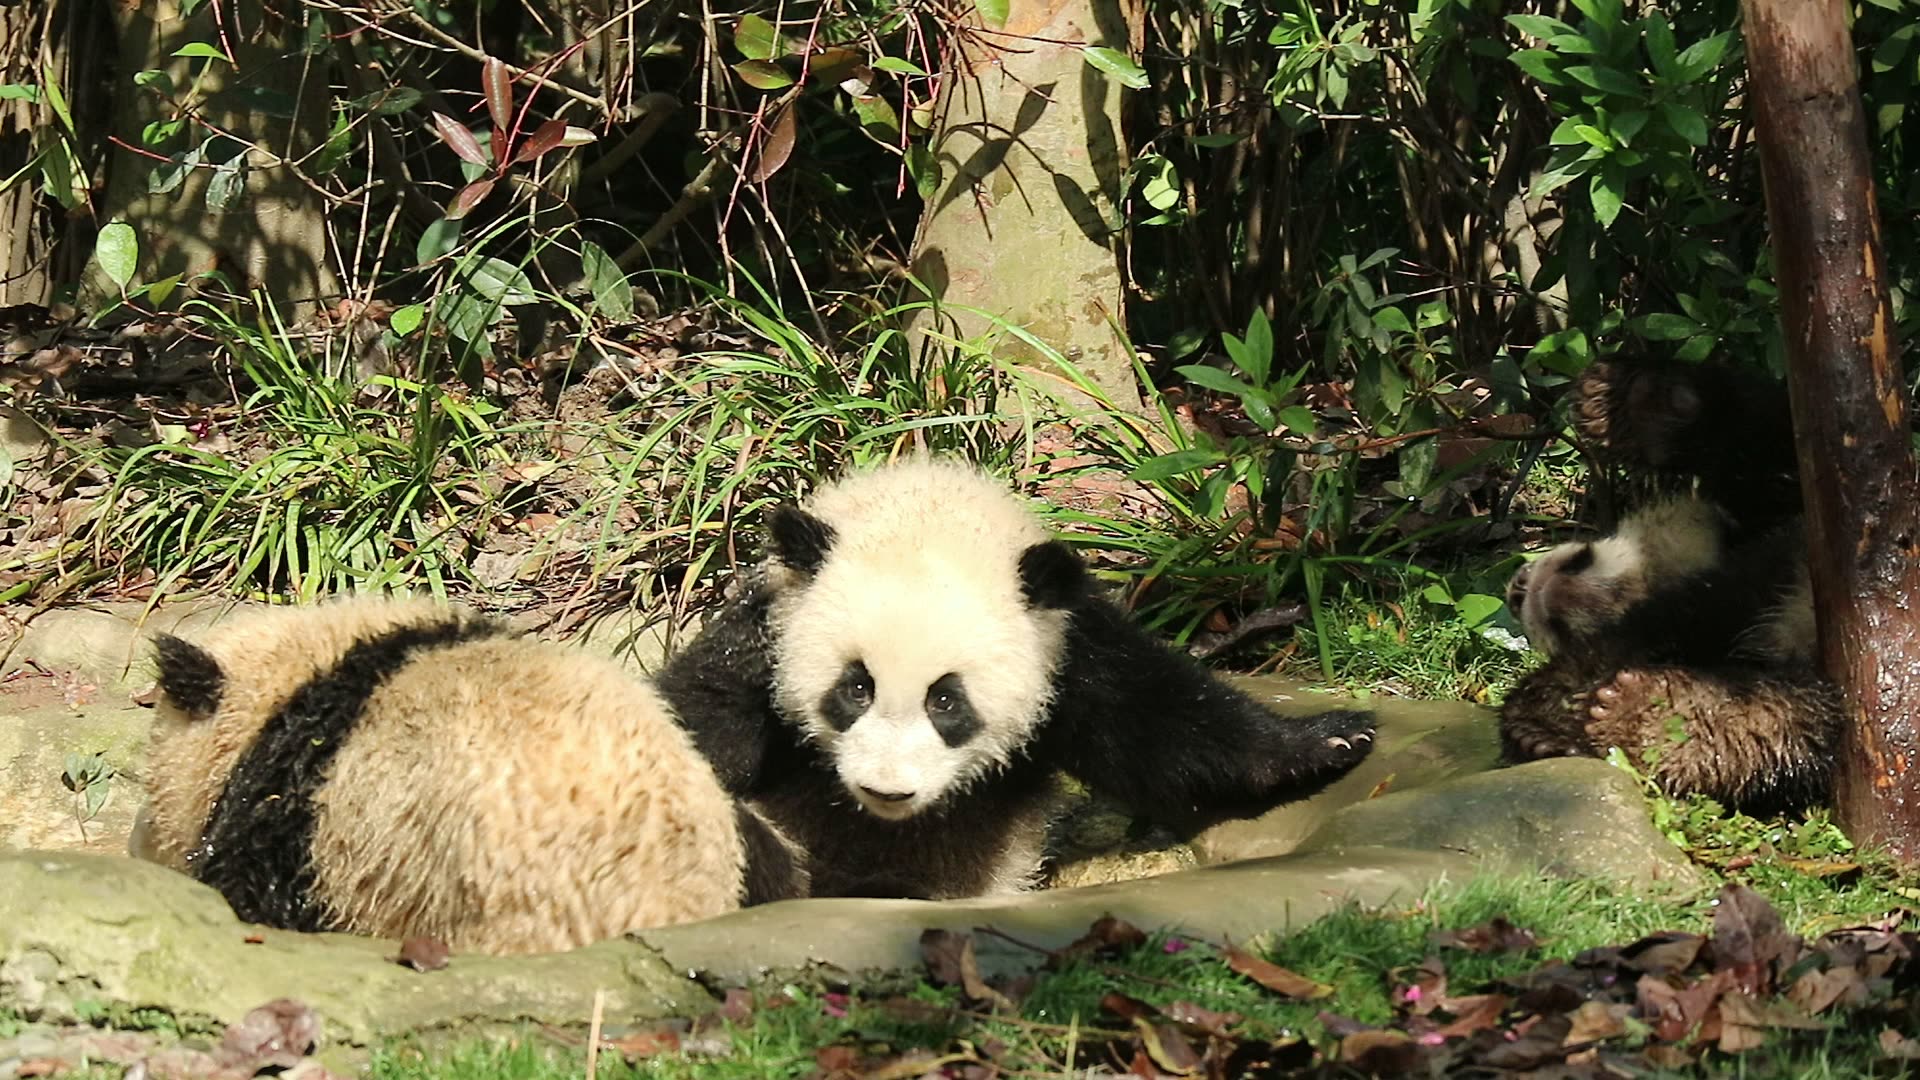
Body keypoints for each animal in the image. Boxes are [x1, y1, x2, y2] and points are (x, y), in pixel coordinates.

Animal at [660, 449, 1382, 895]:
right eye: (855, 688)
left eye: (946, 702)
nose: (886, 789)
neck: (923, 510)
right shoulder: (760, 637)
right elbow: (695, 718)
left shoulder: (1067, 650)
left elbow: (1166, 725)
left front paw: (1331, 737)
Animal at [1489, 357, 1835, 810]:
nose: (1517, 590)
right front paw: (1536, 730)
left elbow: (1771, 440)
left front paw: (1639, 403)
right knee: (1795, 720)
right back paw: (1664, 720)